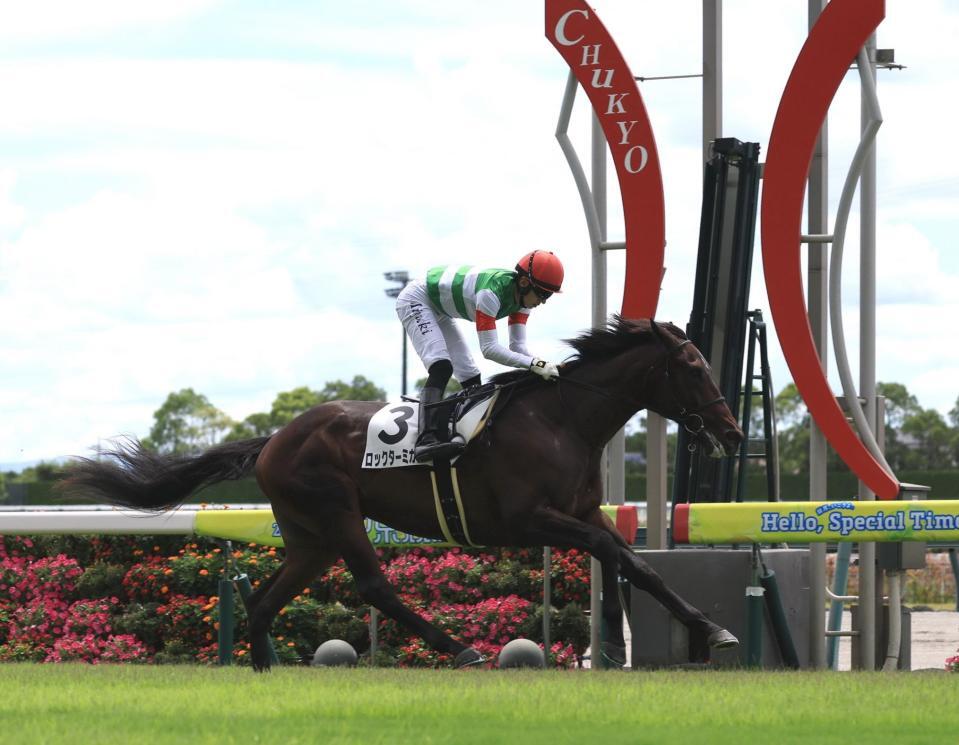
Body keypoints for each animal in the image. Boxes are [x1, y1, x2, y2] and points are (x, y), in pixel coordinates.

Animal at [58, 316, 744, 670]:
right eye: (692, 367)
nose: (734, 431)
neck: (560, 420)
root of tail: (276, 438)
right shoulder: (530, 519)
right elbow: (619, 557)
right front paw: (697, 635)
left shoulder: (583, 515)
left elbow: (637, 565)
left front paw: (711, 631)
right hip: (336, 510)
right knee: (374, 586)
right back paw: (461, 649)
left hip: (309, 536)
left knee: (268, 599)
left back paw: (266, 671)